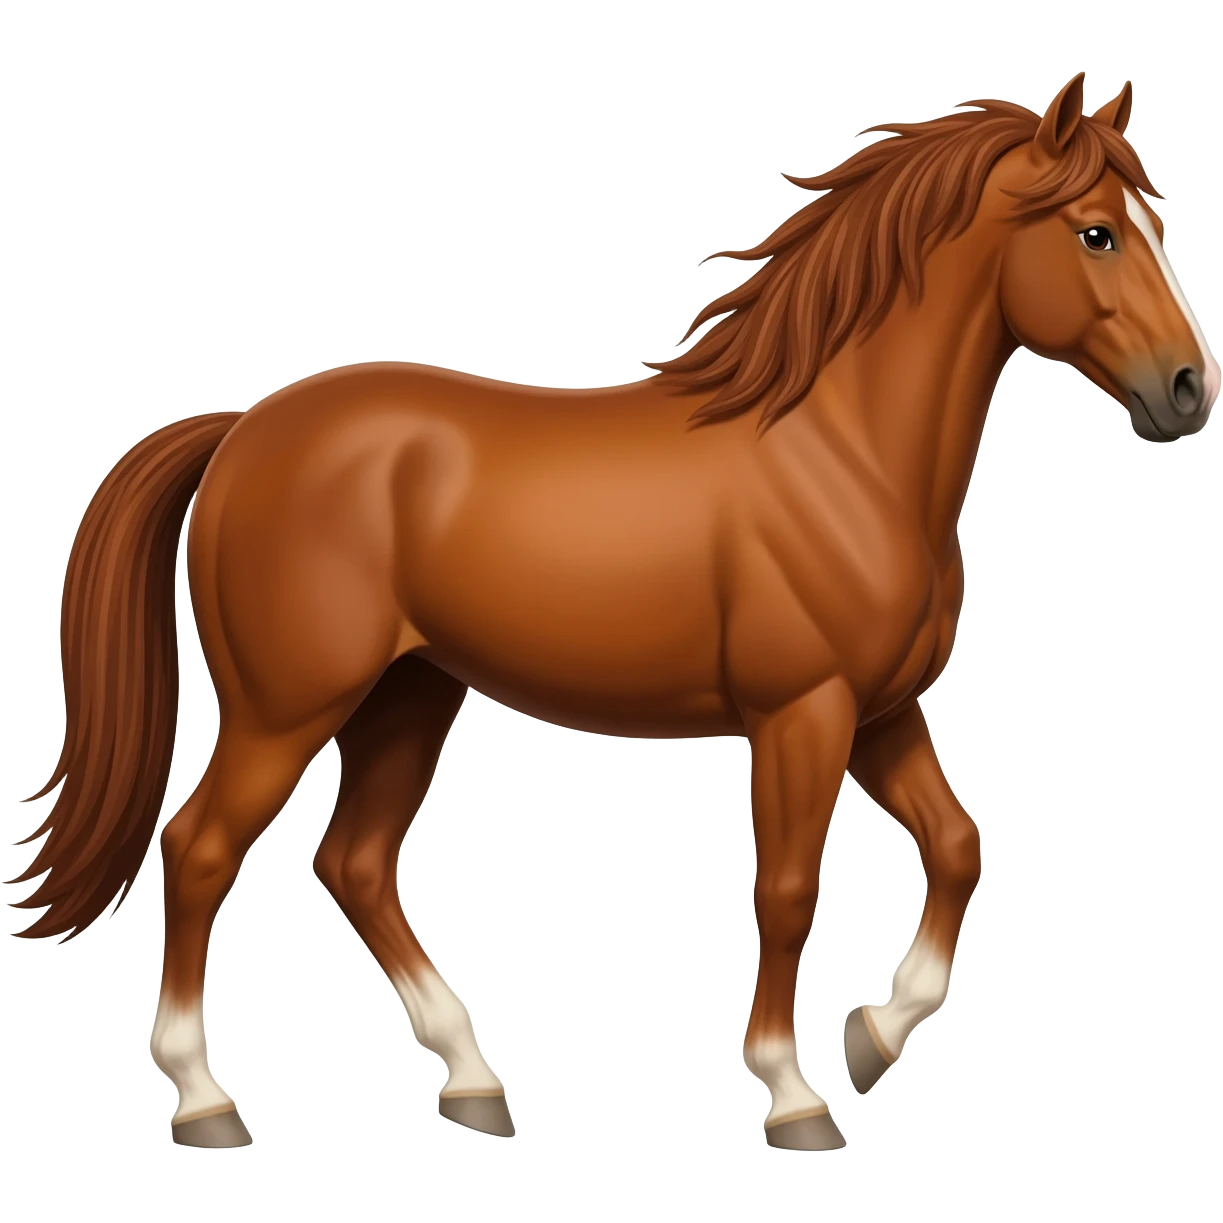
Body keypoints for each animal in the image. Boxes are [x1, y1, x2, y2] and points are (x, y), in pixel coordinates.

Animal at [8, 71, 1217, 1152]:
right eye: (1096, 233)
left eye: (1151, 220)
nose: (1186, 391)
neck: (842, 453)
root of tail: (241, 432)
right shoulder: (802, 714)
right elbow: (787, 889)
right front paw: (794, 1095)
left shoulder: (877, 713)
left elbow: (958, 845)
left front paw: (873, 1034)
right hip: (288, 706)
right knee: (200, 848)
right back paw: (204, 1100)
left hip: (410, 695)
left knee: (353, 861)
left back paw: (474, 1080)